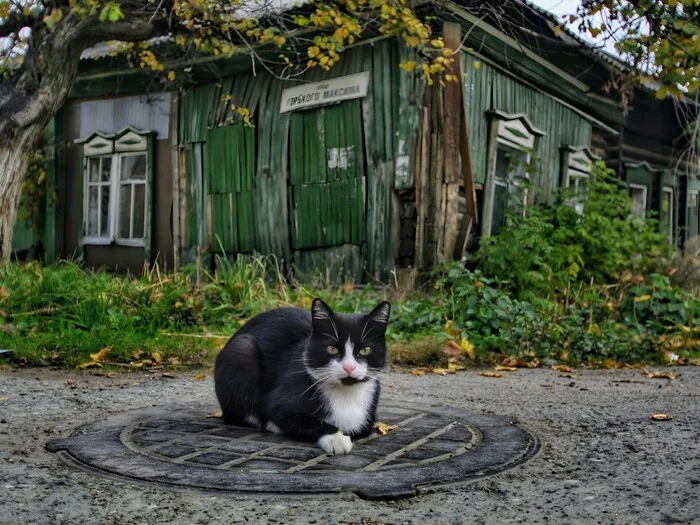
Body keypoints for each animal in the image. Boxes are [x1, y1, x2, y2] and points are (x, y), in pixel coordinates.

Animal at [213, 298, 392, 454]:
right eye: (332, 349)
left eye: (365, 350)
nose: (349, 366)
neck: (346, 395)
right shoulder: (278, 400)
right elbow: (296, 419)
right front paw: (336, 439)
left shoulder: (367, 418)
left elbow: (360, 428)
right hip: (241, 351)